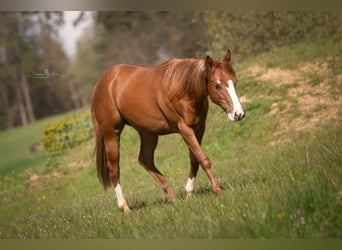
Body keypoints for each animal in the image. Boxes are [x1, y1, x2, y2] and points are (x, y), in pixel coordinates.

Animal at [91, 49, 243, 213]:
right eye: (217, 85)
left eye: (234, 81)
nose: (238, 114)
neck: (182, 89)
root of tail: (103, 82)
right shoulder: (184, 129)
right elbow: (204, 160)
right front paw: (217, 190)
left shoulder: (199, 128)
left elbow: (195, 159)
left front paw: (189, 193)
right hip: (111, 134)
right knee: (114, 169)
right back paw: (125, 207)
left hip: (148, 133)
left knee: (145, 159)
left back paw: (170, 194)